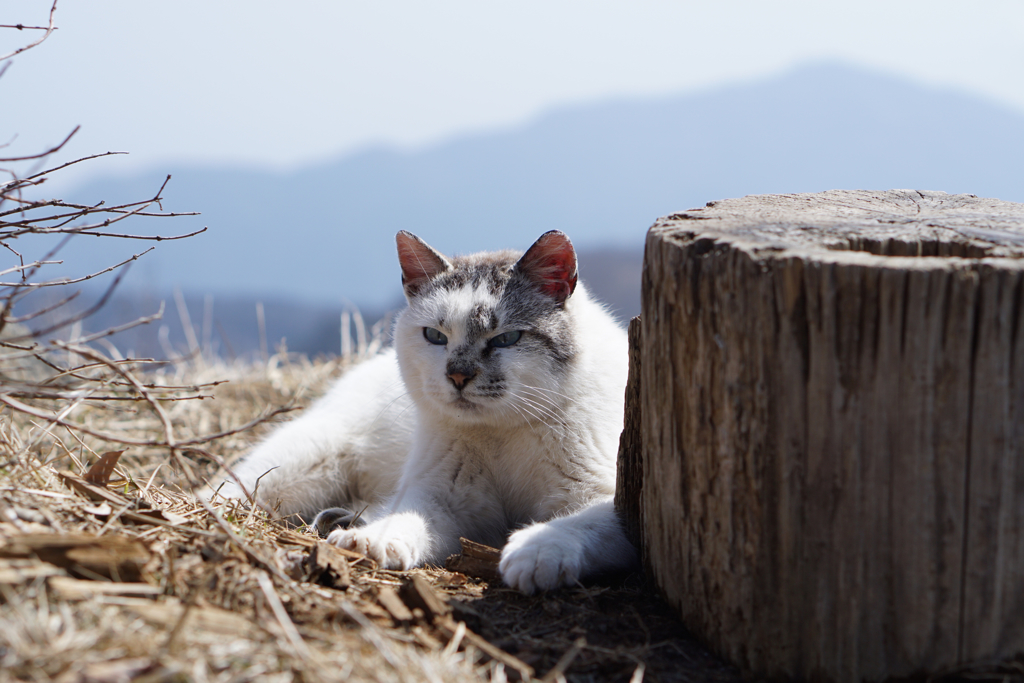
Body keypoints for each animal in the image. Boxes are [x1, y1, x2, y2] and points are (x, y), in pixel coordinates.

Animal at [217, 229, 634, 593]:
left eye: (507, 339)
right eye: (435, 336)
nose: (458, 375)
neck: (501, 432)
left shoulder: (614, 502)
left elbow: (576, 522)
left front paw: (537, 552)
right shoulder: (440, 499)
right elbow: (406, 518)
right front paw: (370, 541)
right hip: (305, 462)